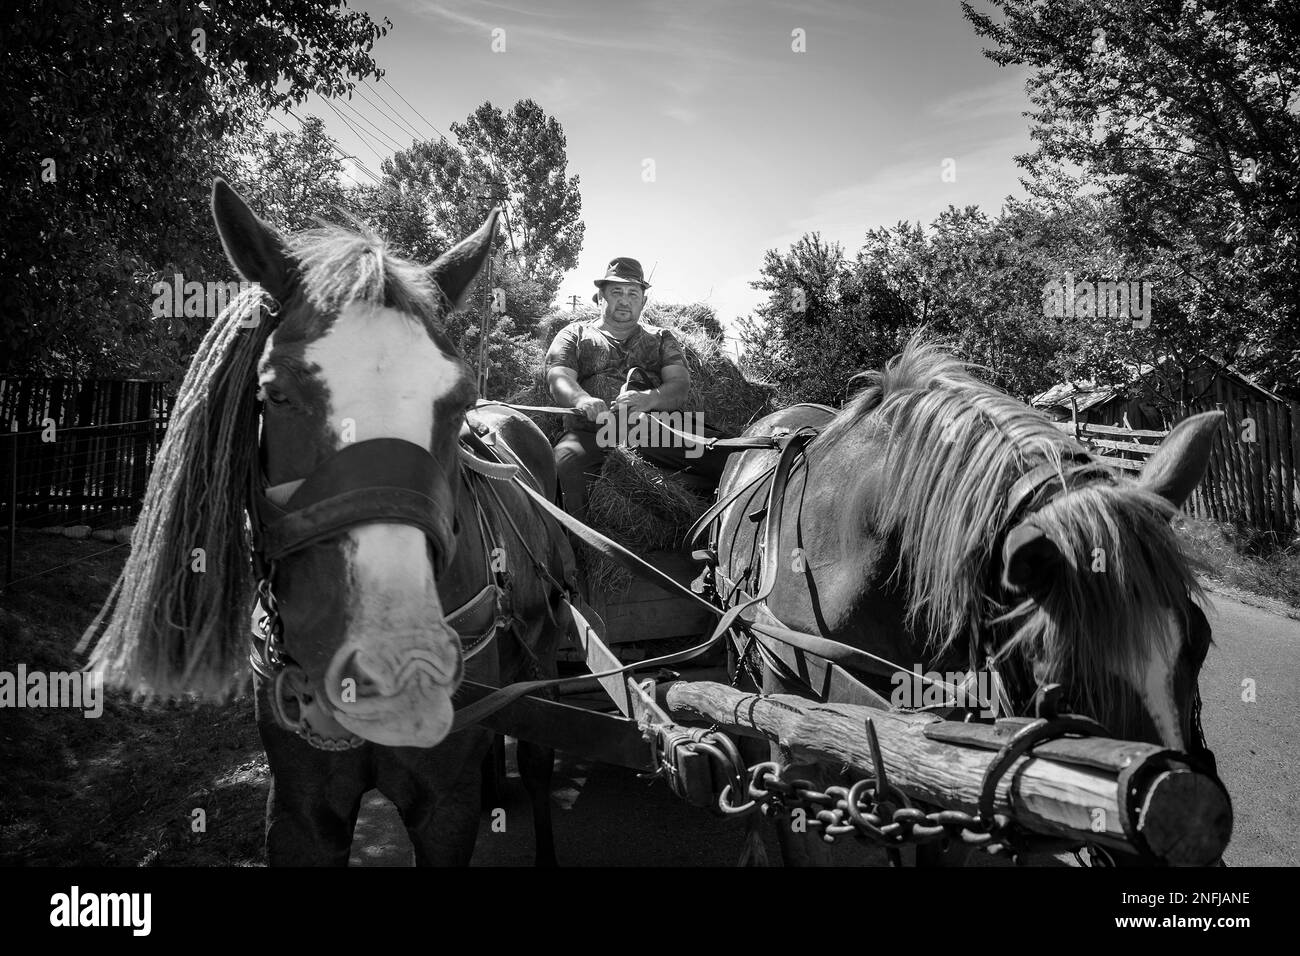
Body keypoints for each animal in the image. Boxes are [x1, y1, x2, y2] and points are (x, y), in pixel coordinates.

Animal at [79, 180, 569, 868]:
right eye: (276, 393)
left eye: (456, 401)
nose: (391, 658)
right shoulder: (300, 813)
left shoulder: (444, 810)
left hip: (544, 646)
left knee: (542, 755)